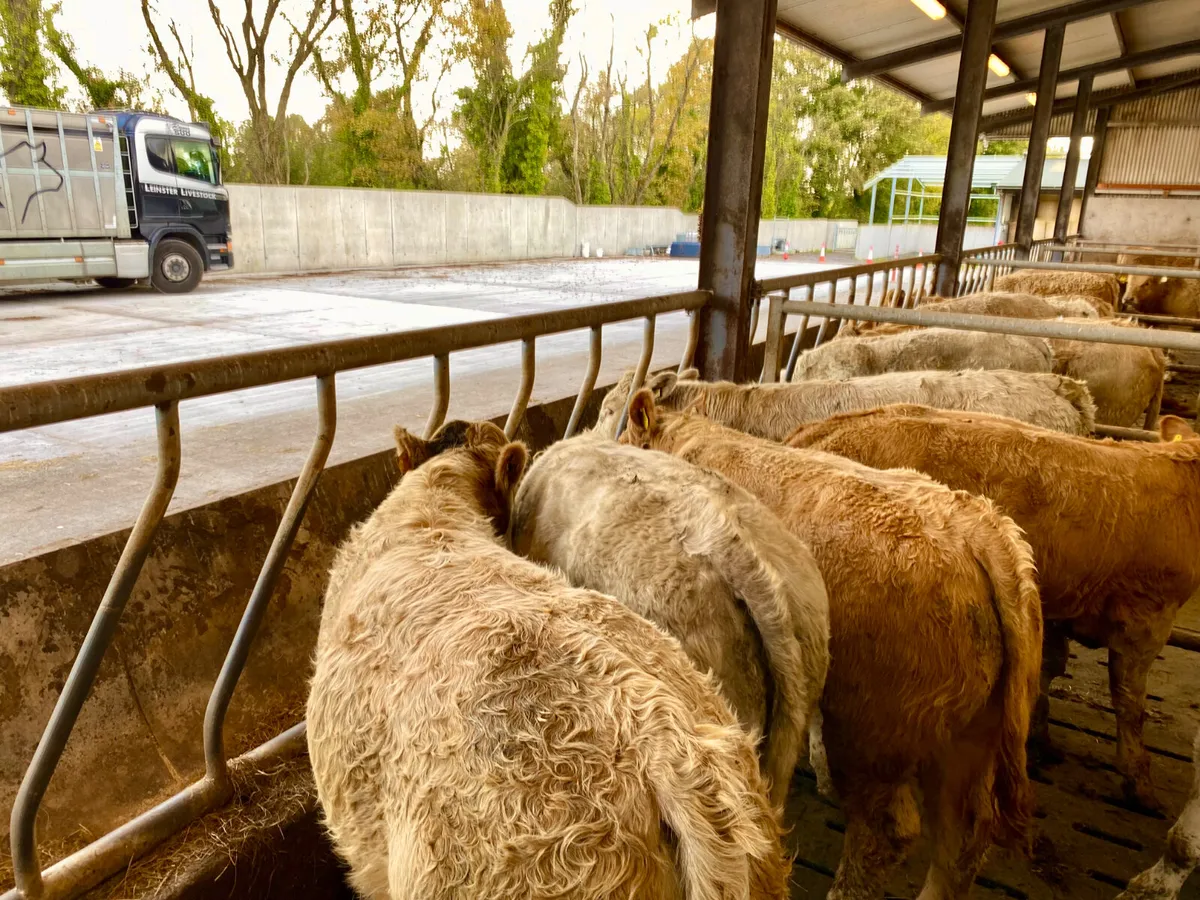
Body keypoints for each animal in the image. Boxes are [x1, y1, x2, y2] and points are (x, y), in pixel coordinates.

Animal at [787, 406, 1200, 809]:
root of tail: (817, 431)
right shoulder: (1148, 615)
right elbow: (1130, 702)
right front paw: (1139, 783)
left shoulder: (1058, 604)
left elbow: (1048, 669)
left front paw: (1041, 738)